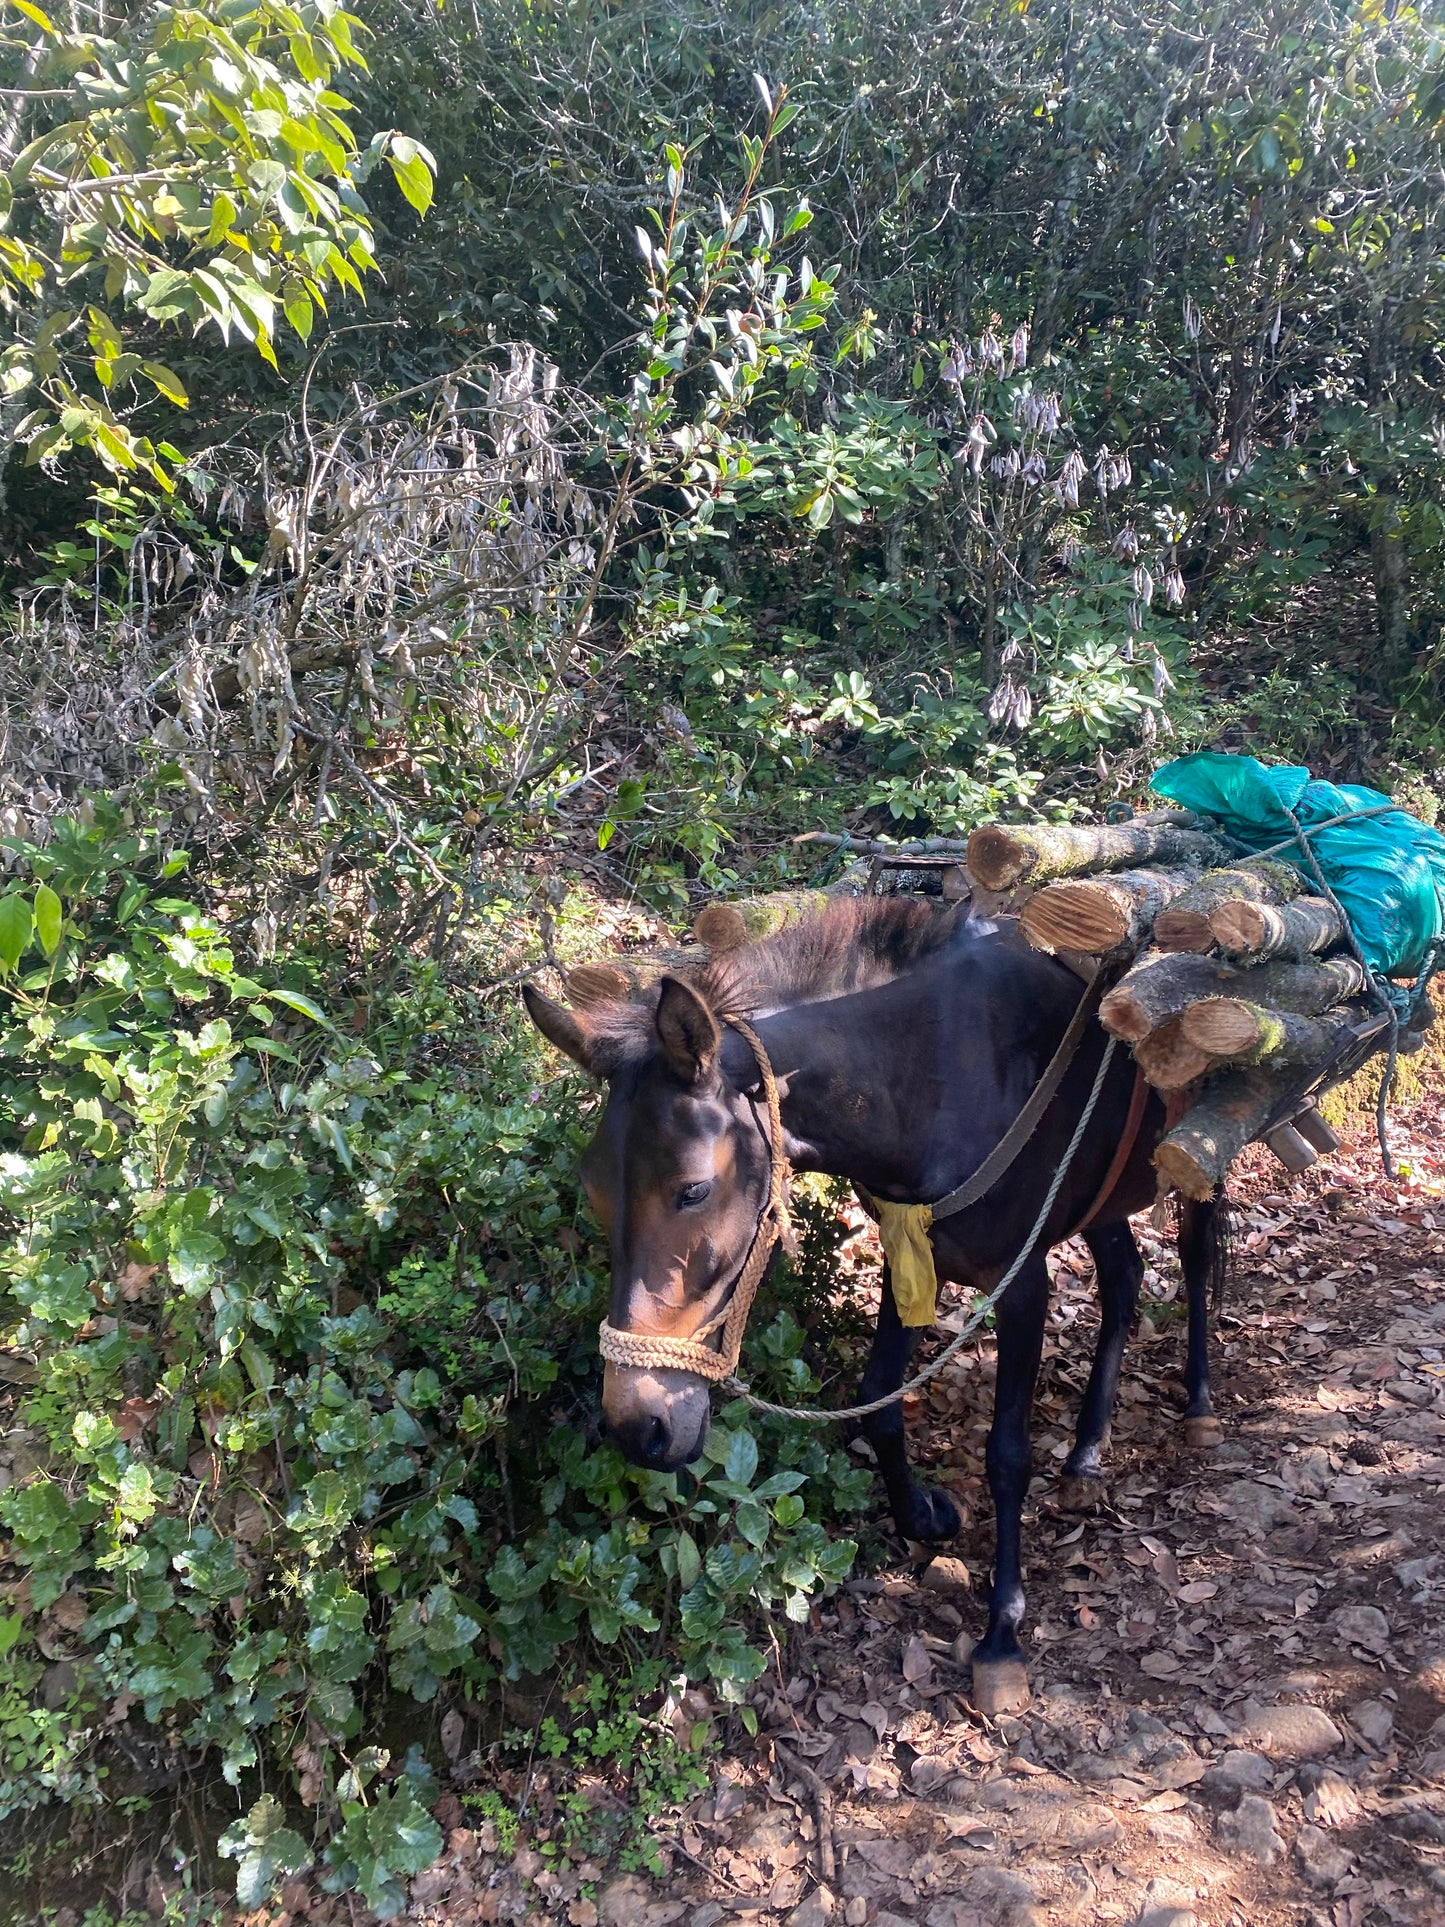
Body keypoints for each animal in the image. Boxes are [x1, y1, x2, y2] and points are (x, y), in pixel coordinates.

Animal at [527, 894, 1225, 1711]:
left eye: (693, 1189)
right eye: (594, 1190)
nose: (638, 1427)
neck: (928, 1074)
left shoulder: (1022, 1283)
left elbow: (1006, 1453)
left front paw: (1002, 1629)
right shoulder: (907, 1251)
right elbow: (880, 1402)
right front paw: (923, 1514)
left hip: (1199, 1152)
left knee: (1196, 1253)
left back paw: (1199, 1404)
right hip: (1103, 1190)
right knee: (1124, 1276)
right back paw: (1085, 1453)